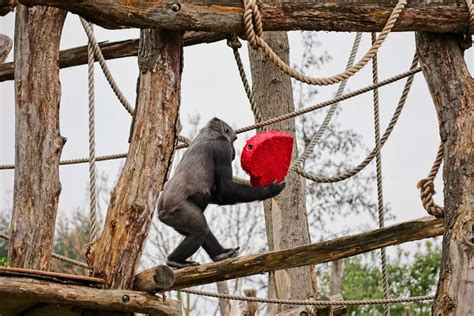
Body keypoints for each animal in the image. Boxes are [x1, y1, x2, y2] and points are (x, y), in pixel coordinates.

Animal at [158, 117, 286, 268]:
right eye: (234, 140)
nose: (234, 151)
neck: (211, 132)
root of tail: (161, 213)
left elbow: (218, 194)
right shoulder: (222, 147)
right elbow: (225, 187)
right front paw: (269, 190)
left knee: (202, 229)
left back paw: (220, 254)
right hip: (177, 211)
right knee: (200, 230)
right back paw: (175, 260)